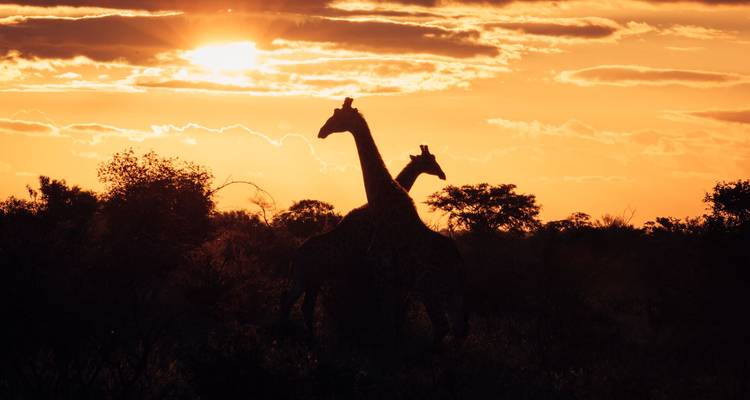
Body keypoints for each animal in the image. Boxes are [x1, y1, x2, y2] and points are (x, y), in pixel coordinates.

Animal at [280, 145, 447, 332]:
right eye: (430, 160)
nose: (442, 174)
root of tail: (295, 257)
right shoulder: (368, 257)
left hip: (308, 278)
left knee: (295, 303)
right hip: (309, 278)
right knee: (299, 304)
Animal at [313, 97, 467, 345]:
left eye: (337, 116)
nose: (321, 131)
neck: (383, 203)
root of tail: (459, 265)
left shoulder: (382, 271)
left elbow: (388, 319)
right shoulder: (389, 277)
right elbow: (390, 318)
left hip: (431, 289)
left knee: (445, 327)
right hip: (448, 293)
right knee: (455, 329)